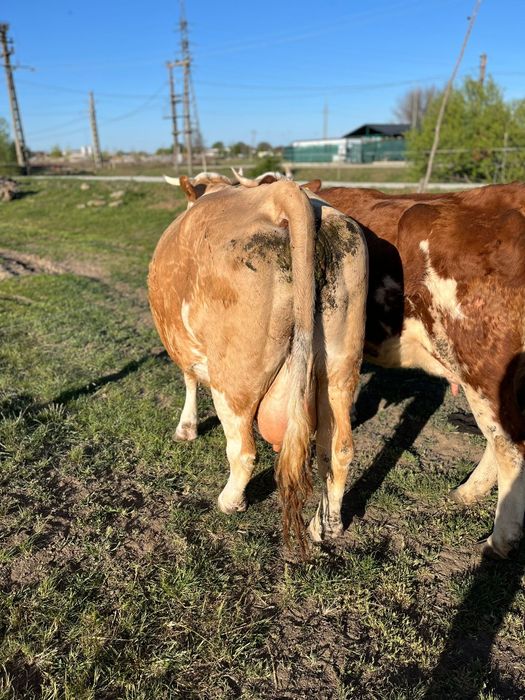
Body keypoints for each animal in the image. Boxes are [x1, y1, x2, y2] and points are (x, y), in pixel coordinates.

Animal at [148, 174, 368, 551]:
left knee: (243, 449)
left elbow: (188, 380)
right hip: (340, 365)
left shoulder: (183, 344)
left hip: (234, 377)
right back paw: (327, 524)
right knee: (337, 448)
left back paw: (229, 501)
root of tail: (282, 194)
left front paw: (186, 429)